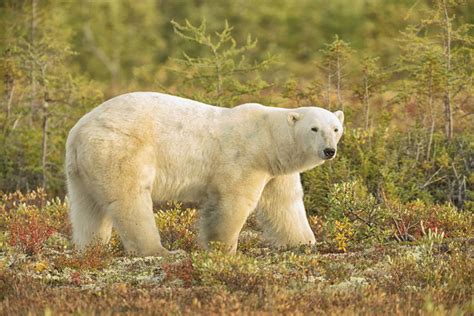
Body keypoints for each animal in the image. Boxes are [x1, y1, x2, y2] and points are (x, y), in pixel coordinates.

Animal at [65, 92, 342, 256]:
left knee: (87, 209)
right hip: (122, 149)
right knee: (130, 200)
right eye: (314, 128)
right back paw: (158, 251)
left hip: (82, 167)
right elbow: (233, 202)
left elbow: (285, 204)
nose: (329, 150)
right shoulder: (245, 159)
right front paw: (223, 249)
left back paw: (90, 249)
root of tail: (79, 130)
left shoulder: (277, 171)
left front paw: (305, 243)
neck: (269, 138)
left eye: (336, 128)